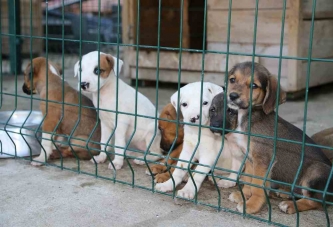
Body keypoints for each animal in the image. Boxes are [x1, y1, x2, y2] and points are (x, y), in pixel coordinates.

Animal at [224, 62, 330, 215]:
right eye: (232, 80)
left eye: (254, 85)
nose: (232, 96)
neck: (250, 116)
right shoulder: (250, 158)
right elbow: (249, 179)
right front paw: (244, 195)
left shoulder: (262, 159)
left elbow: (257, 185)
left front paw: (251, 205)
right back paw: (285, 193)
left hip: (316, 171)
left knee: (316, 201)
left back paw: (289, 205)